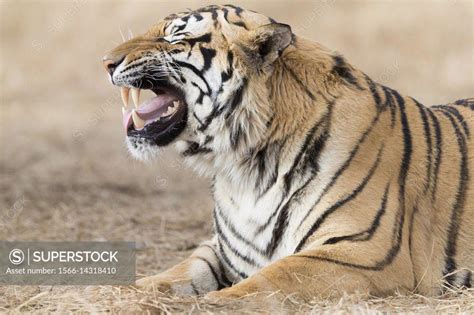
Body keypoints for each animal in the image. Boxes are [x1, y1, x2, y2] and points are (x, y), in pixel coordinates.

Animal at [102, 4, 472, 302]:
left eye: (173, 38)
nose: (106, 62)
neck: (241, 167)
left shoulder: (368, 252)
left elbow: (277, 274)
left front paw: (215, 303)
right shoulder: (220, 249)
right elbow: (179, 270)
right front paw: (117, 292)